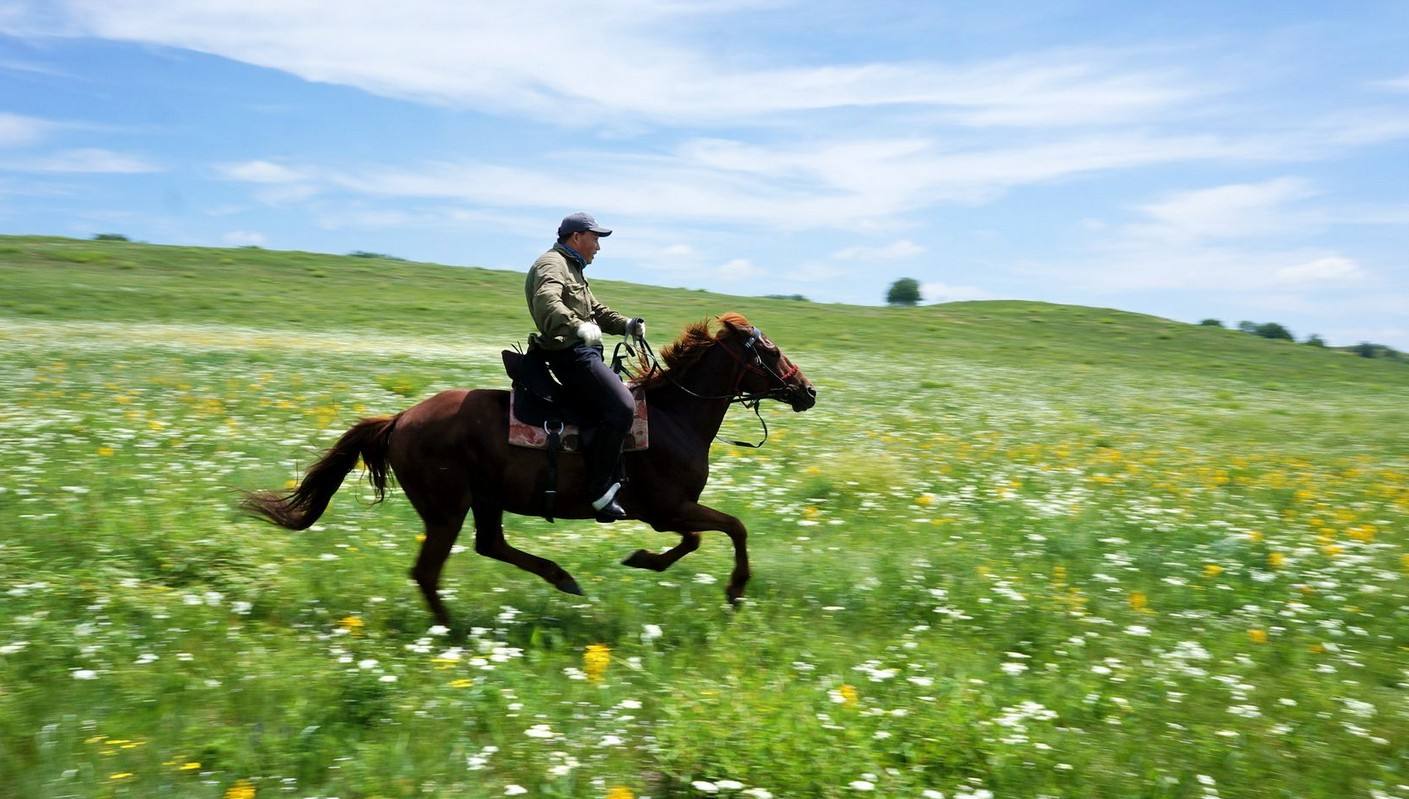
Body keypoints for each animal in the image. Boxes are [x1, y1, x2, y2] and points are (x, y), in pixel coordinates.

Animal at [242, 312, 817, 625]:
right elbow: (729, 530)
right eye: (770, 351)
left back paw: (561, 579)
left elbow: (701, 539)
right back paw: (455, 633)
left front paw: (642, 561)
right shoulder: (668, 509)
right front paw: (733, 589)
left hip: (484, 499)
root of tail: (401, 418)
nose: (807, 391)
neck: (675, 414)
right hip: (447, 508)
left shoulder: (670, 511)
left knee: (490, 545)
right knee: (429, 571)